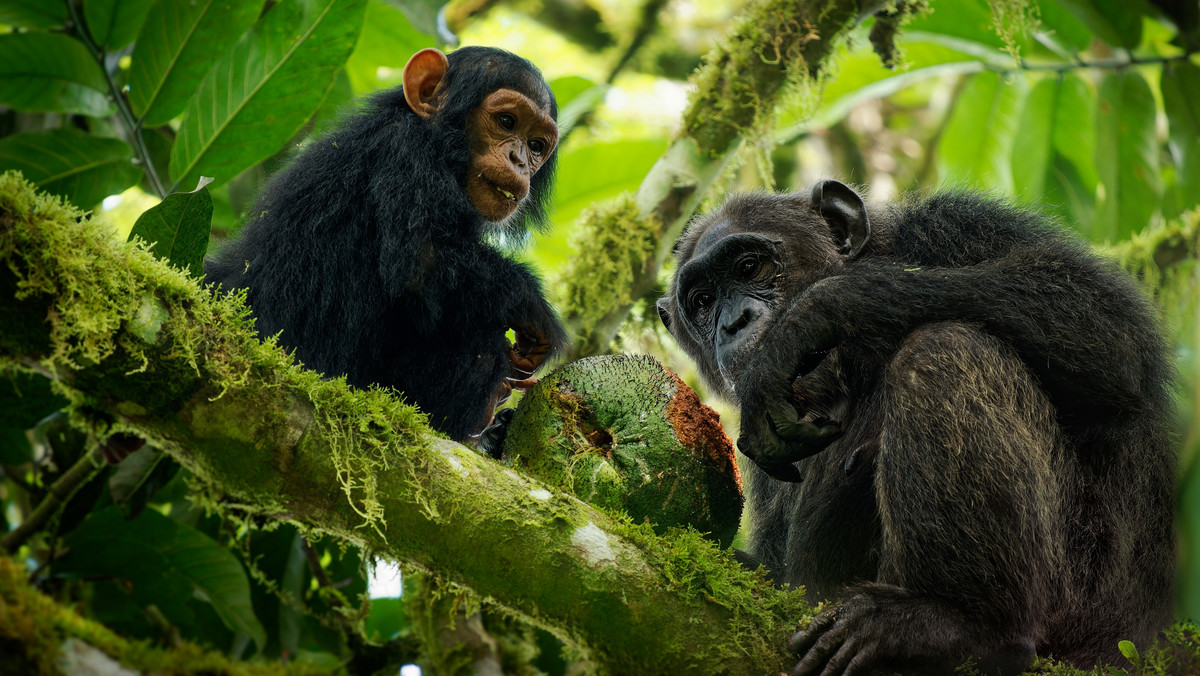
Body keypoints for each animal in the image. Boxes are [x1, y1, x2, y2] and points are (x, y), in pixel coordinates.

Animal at [205, 48, 561, 449]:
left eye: (536, 145)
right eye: (506, 121)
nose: (520, 160)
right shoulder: (405, 154)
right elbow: (422, 261)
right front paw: (536, 313)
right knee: (479, 333)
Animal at [657, 181, 1171, 676]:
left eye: (750, 267)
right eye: (703, 302)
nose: (734, 322)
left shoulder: (960, 225)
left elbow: (1101, 323)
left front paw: (807, 320)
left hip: (1080, 604)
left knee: (942, 350)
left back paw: (958, 622)